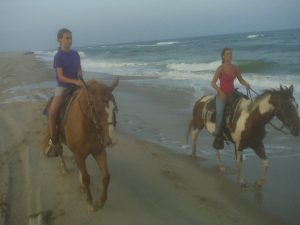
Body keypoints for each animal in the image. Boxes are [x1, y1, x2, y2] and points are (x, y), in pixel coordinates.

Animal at [42, 78, 118, 209]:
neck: (88, 126)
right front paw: (90, 201)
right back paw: (64, 168)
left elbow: (106, 177)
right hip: (57, 137)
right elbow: (87, 178)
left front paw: (101, 200)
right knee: (59, 150)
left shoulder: (99, 152)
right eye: (97, 110)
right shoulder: (79, 154)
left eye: (114, 109)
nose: (111, 141)